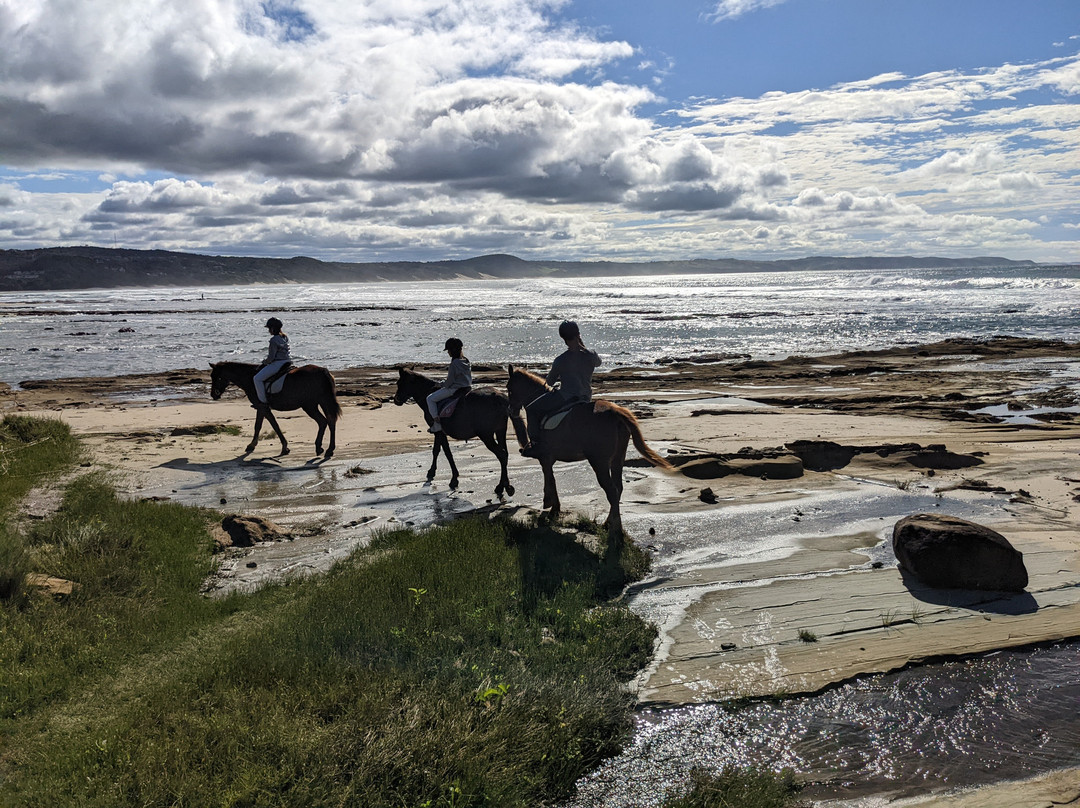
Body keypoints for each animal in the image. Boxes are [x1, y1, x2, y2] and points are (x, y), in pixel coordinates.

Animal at [209, 361, 341, 458]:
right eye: (211, 377)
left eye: (218, 378)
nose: (213, 394)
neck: (249, 377)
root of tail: (323, 371)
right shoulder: (261, 408)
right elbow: (261, 425)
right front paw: (253, 445)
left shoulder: (262, 407)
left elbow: (271, 425)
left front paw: (283, 447)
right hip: (320, 403)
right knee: (328, 421)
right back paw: (325, 449)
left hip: (312, 405)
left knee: (325, 421)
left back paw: (324, 448)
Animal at [393, 367, 515, 497]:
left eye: (399, 383)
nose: (396, 399)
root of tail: (500, 398)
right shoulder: (439, 432)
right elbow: (438, 450)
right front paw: (434, 472)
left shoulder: (439, 431)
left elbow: (444, 452)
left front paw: (452, 478)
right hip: (500, 431)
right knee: (505, 454)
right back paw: (504, 485)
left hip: (486, 435)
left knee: (501, 455)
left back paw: (501, 486)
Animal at [506, 365, 673, 543]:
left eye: (509, 389)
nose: (511, 410)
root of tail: (615, 412)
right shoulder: (548, 458)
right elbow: (551, 479)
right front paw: (554, 507)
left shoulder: (545, 458)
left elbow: (550, 479)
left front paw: (552, 507)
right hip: (617, 459)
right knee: (618, 489)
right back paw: (608, 522)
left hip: (599, 462)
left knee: (611, 491)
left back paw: (615, 529)